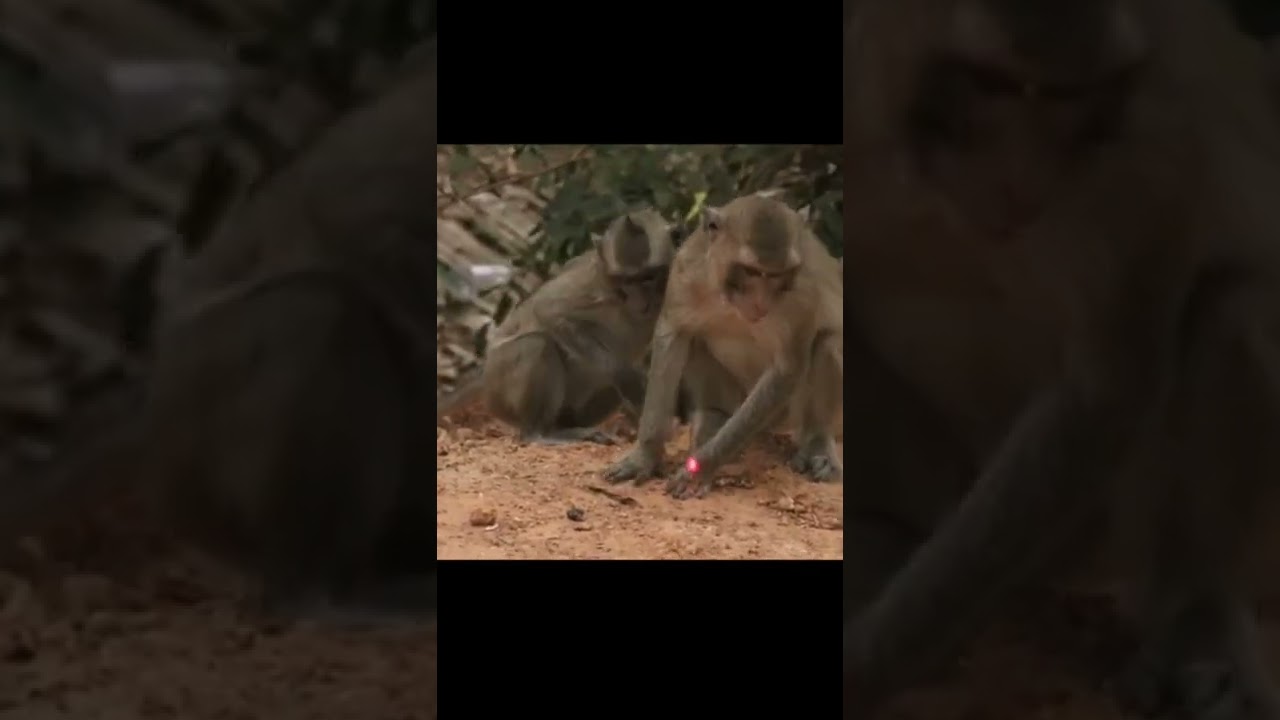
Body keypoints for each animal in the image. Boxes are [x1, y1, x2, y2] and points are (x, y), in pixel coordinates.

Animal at [436, 209, 679, 446]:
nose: (639, 301)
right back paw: (538, 434)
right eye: (624, 280)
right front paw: (621, 372)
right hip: (500, 391)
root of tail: (485, 375)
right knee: (537, 344)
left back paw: (570, 427)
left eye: (648, 277)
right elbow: (547, 310)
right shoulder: (592, 283)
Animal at [601, 194, 842, 499]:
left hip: (787, 413)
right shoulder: (687, 270)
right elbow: (673, 335)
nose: (760, 303)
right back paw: (713, 416)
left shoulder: (800, 296)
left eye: (779, 274)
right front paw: (645, 455)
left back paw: (817, 443)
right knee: (697, 341)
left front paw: (700, 469)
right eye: (751, 271)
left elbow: (786, 369)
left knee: (829, 341)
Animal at [842, 1, 1280, 718]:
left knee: (1241, 306)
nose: (1022, 181)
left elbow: (1103, 388)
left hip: (1106, 529)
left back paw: (1198, 616)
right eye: (993, 83)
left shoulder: (1143, 157)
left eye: (1069, 97)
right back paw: (882, 534)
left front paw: (864, 665)